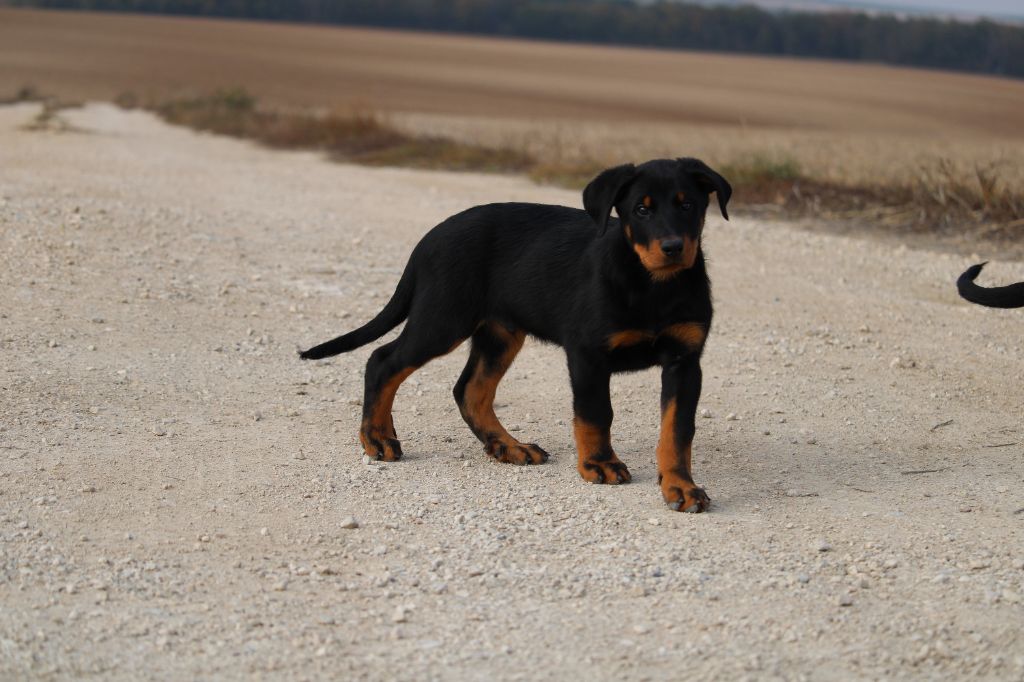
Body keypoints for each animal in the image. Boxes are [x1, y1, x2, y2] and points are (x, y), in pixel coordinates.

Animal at [300, 158, 731, 512]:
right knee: (383, 361)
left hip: (500, 333)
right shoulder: (587, 353)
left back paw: (509, 446)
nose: (673, 247)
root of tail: (430, 238)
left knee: (469, 390)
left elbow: (677, 430)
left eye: (688, 205)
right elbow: (595, 413)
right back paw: (376, 438)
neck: (653, 285)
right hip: (443, 319)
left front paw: (681, 487)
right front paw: (600, 464)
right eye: (642, 209)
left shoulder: (685, 361)